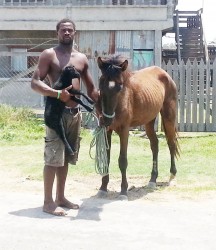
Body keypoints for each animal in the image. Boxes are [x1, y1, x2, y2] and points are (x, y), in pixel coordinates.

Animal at [97, 54, 180, 199]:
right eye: (101, 85)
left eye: (120, 87)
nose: (107, 120)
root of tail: (165, 74)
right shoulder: (107, 132)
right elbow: (106, 159)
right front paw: (103, 188)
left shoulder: (124, 130)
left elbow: (122, 161)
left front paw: (123, 191)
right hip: (149, 121)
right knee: (155, 145)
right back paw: (152, 180)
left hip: (169, 117)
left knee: (171, 143)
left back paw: (172, 174)